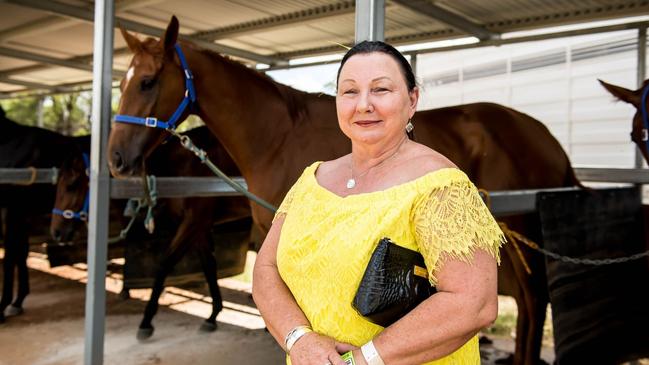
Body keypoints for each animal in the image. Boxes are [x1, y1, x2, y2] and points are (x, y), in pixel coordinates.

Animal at [0, 104, 88, 322]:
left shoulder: (13, 209)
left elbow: (10, 255)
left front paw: (3, 306)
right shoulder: (19, 212)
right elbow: (20, 251)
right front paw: (17, 302)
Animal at [51, 125, 251, 338]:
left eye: (71, 186)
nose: (55, 232)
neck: (185, 164)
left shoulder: (194, 222)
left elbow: (165, 264)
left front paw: (146, 320)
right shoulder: (199, 227)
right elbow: (209, 265)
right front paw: (213, 315)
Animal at [106, 17, 584, 364]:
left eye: (147, 81)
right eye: (122, 83)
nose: (115, 158)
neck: (279, 135)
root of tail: (542, 132)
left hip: (519, 225)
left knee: (533, 297)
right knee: (529, 301)